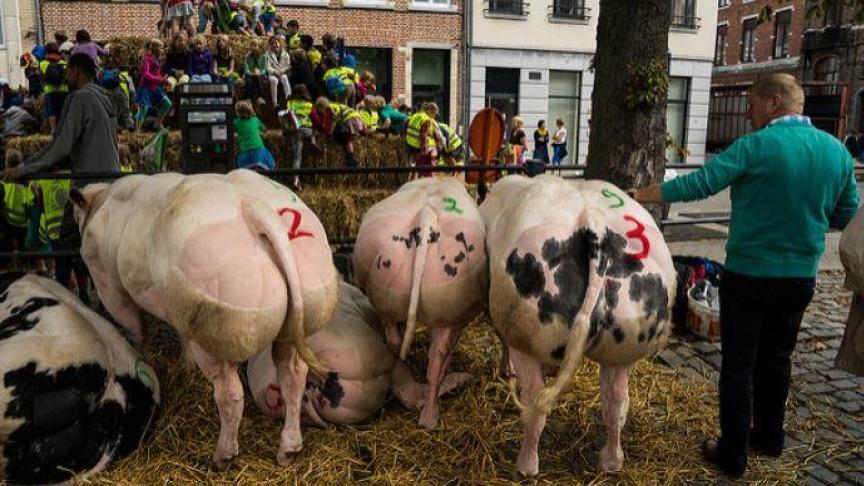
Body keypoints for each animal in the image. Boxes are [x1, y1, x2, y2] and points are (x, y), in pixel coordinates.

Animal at [69, 170, 340, 468]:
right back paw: (289, 448)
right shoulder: (179, 308)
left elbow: (135, 330)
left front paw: (142, 358)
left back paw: (222, 456)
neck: (102, 202)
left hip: (217, 330)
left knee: (230, 394)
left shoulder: (109, 286)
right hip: (294, 316)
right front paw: (185, 364)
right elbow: (180, 335)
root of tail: (254, 208)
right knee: (293, 376)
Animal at [352, 178, 486, 430]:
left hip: (387, 294)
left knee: (395, 340)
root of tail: (426, 218)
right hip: (453, 305)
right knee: (438, 357)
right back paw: (430, 416)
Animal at [480, 175, 676, 474]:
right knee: (616, 399)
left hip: (525, 330)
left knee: (535, 398)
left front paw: (505, 370)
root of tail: (593, 223)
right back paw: (610, 461)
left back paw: (525, 466)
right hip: (628, 342)